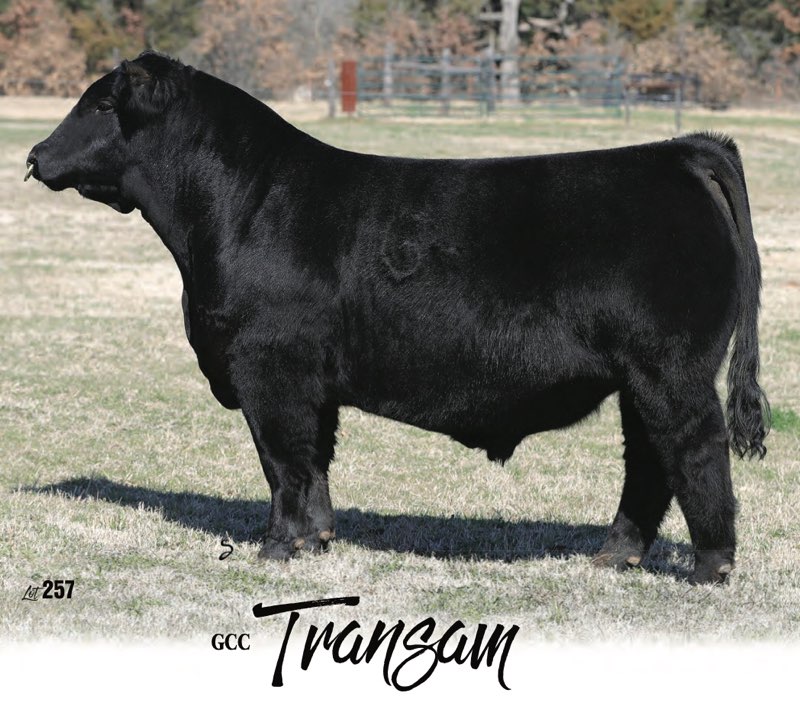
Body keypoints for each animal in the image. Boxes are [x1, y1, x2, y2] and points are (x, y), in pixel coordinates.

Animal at [26, 51, 769, 585]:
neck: (238, 209)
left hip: (670, 369)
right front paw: (318, 538)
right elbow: (315, 460)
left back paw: (710, 567)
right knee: (648, 462)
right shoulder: (311, 381)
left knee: (695, 451)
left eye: (101, 103)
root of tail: (678, 150)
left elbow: (281, 460)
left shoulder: (268, 366)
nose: (33, 157)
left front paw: (277, 547)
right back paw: (613, 555)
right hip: (640, 378)